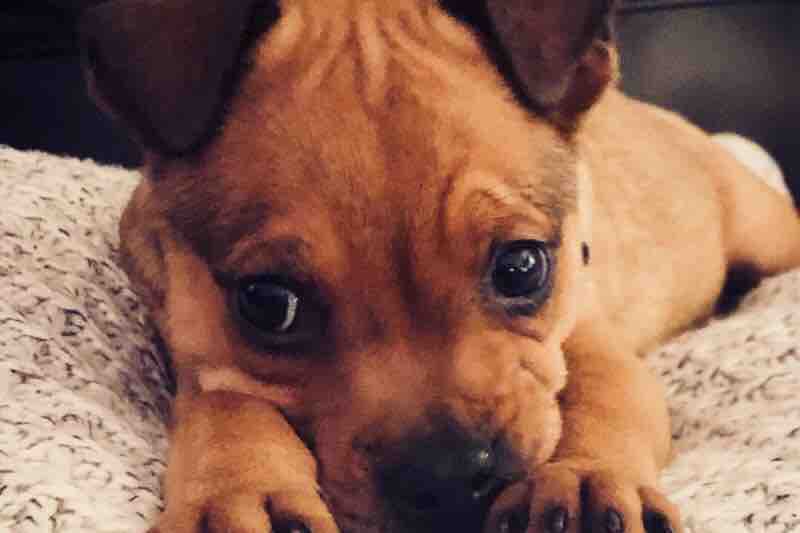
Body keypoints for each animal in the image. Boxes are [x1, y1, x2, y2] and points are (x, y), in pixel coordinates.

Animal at [80, 1, 800, 532]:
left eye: (521, 268)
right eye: (269, 304)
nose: (452, 476)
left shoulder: (591, 341)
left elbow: (603, 399)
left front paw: (585, 478)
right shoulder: (202, 357)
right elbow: (230, 412)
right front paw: (236, 491)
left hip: (764, 227)